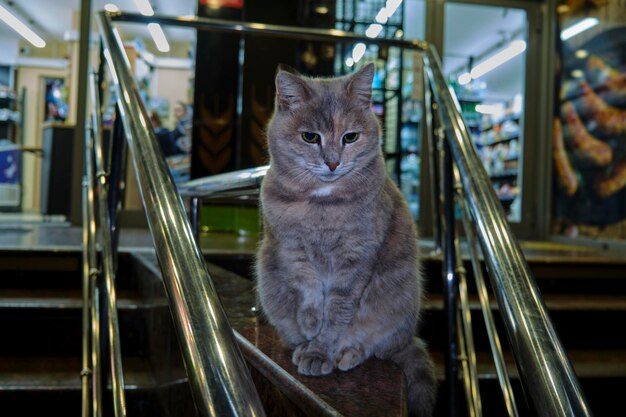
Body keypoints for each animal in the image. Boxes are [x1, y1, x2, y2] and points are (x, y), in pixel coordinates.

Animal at [254, 62, 434, 416]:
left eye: (350, 137)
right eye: (310, 136)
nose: (333, 162)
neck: (321, 203)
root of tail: (407, 338)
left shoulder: (355, 260)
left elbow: (338, 311)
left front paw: (320, 350)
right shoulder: (291, 248)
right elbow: (308, 290)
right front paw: (310, 326)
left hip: (394, 307)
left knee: (373, 344)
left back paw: (346, 353)